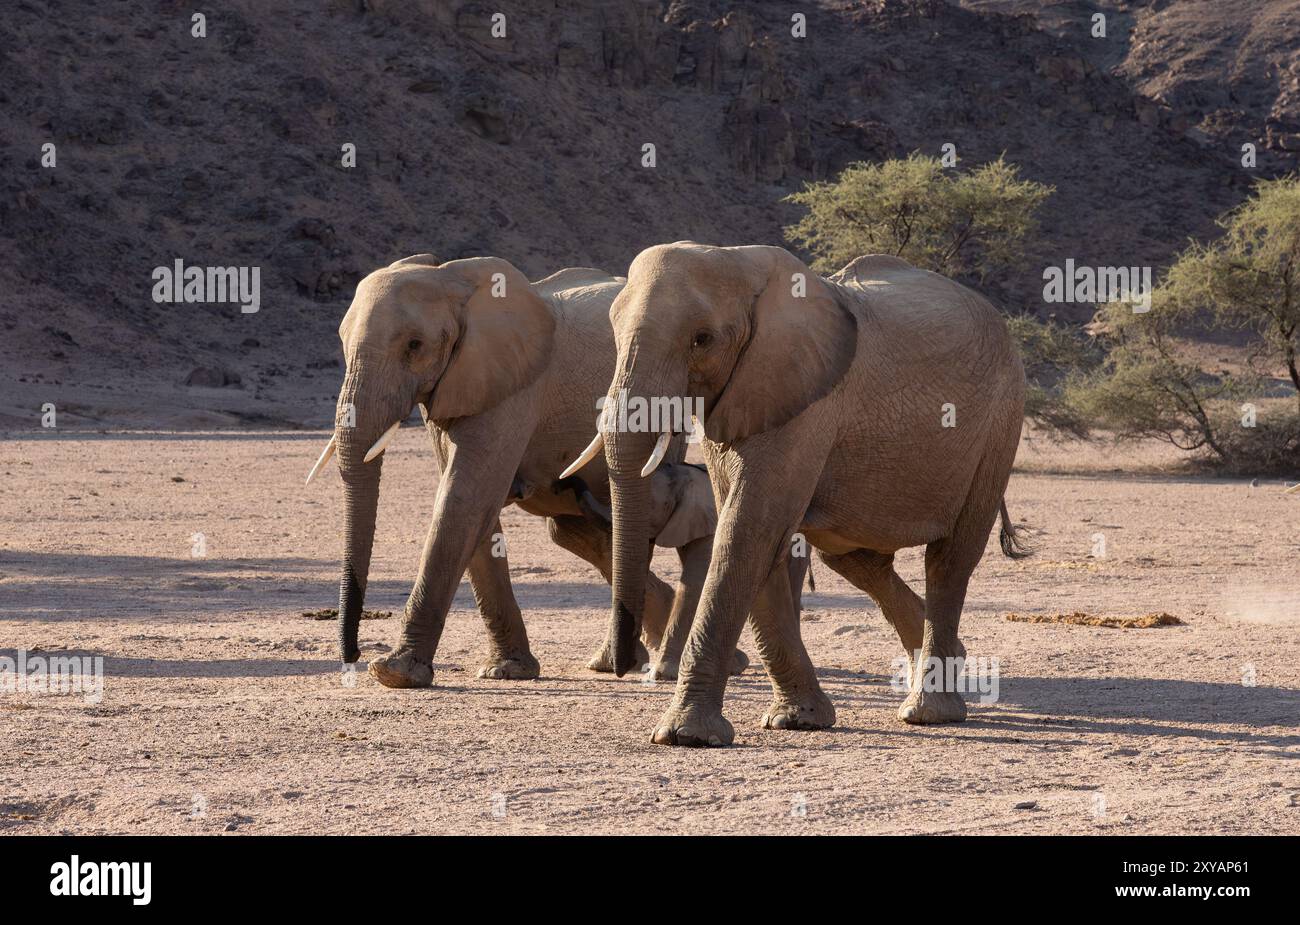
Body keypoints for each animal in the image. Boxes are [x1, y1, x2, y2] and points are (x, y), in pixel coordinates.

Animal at [305, 253, 748, 685]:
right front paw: (507, 671)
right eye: (342, 342)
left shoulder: (513, 387)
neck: (451, 279)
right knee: (579, 531)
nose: (353, 656)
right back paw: (619, 661)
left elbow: (464, 499)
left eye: (414, 345)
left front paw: (395, 673)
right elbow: (475, 510)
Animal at [574, 241, 1029, 748]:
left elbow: (749, 531)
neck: (738, 261)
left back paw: (929, 711)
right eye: (613, 329)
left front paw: (685, 736)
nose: (624, 666)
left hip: (1001, 421)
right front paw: (798, 720)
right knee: (855, 558)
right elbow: (759, 536)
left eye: (702, 340)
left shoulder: (804, 402)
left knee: (951, 558)